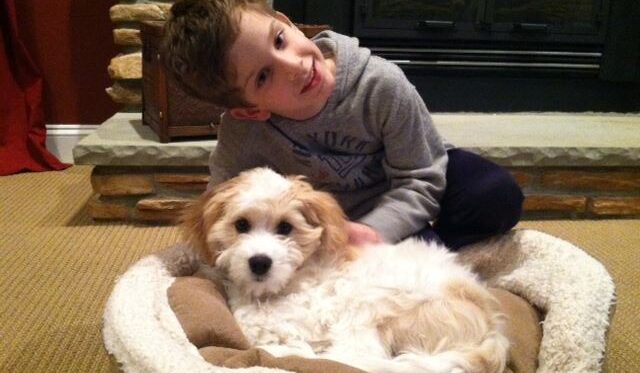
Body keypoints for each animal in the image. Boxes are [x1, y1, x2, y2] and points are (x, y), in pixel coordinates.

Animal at [182, 169, 508, 372]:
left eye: (285, 228)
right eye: (241, 225)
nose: (260, 262)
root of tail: (493, 331)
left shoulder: (310, 311)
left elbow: (255, 324)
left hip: (367, 304)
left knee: (358, 356)